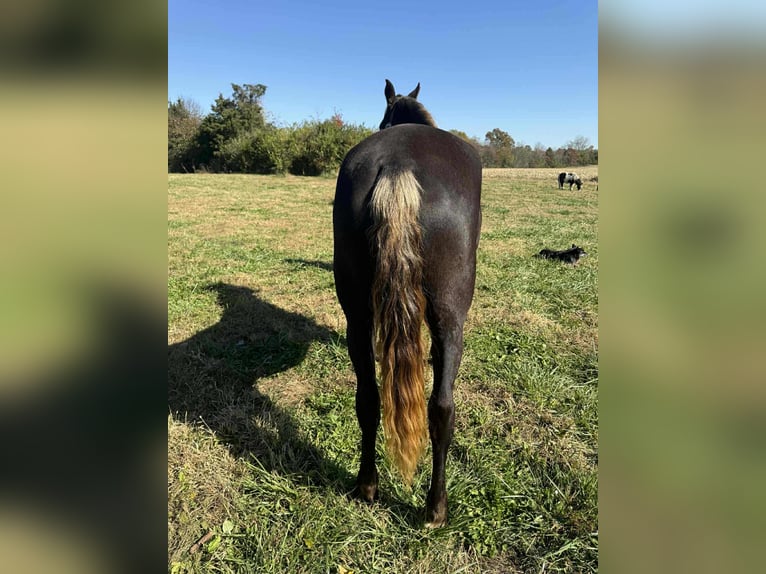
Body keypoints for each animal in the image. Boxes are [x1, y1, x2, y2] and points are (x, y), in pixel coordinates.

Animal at [333, 79, 482, 527]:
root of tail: (398, 165)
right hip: (451, 316)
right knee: (442, 408)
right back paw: (436, 508)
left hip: (357, 316)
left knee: (368, 398)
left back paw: (367, 485)